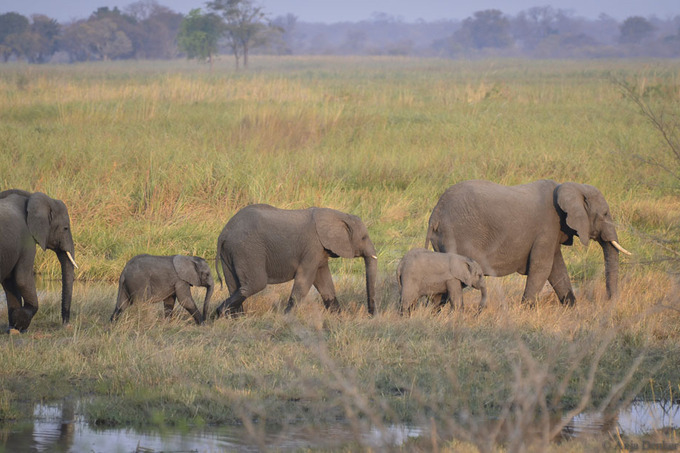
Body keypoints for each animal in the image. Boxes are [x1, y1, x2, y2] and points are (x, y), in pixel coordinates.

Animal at [0, 189, 77, 330]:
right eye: (65, 228)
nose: (67, 324)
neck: (30, 196)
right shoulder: (26, 240)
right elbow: (22, 279)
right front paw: (20, 323)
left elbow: (10, 281)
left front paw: (14, 328)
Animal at [215, 203, 380, 316]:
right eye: (364, 238)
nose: (370, 315)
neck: (339, 215)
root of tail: (224, 233)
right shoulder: (312, 247)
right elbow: (305, 279)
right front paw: (287, 318)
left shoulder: (320, 251)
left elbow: (324, 281)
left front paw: (338, 318)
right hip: (247, 249)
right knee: (255, 284)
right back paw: (218, 313)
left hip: (230, 252)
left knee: (234, 285)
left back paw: (235, 318)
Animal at [424, 178, 632, 306]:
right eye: (605, 214)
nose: (610, 302)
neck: (570, 187)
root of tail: (435, 214)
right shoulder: (547, 227)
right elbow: (542, 267)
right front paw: (526, 308)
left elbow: (557, 268)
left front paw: (572, 306)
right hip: (456, 235)